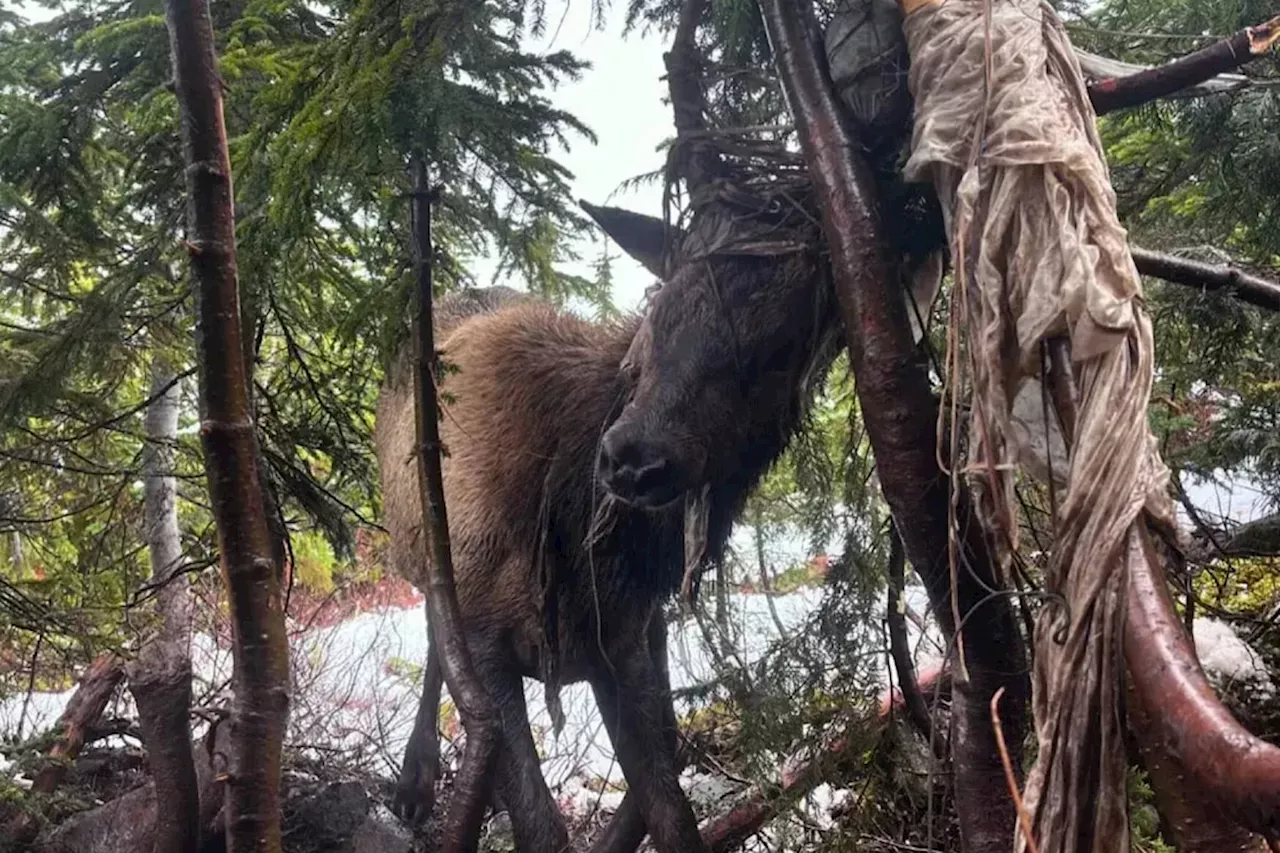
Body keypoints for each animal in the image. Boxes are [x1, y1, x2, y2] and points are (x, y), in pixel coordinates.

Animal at [373, 185, 839, 850]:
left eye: (781, 352)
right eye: (658, 307)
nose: (634, 458)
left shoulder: (623, 641)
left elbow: (671, 808)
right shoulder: (489, 635)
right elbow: (541, 825)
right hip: (421, 553)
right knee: (437, 638)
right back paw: (418, 778)